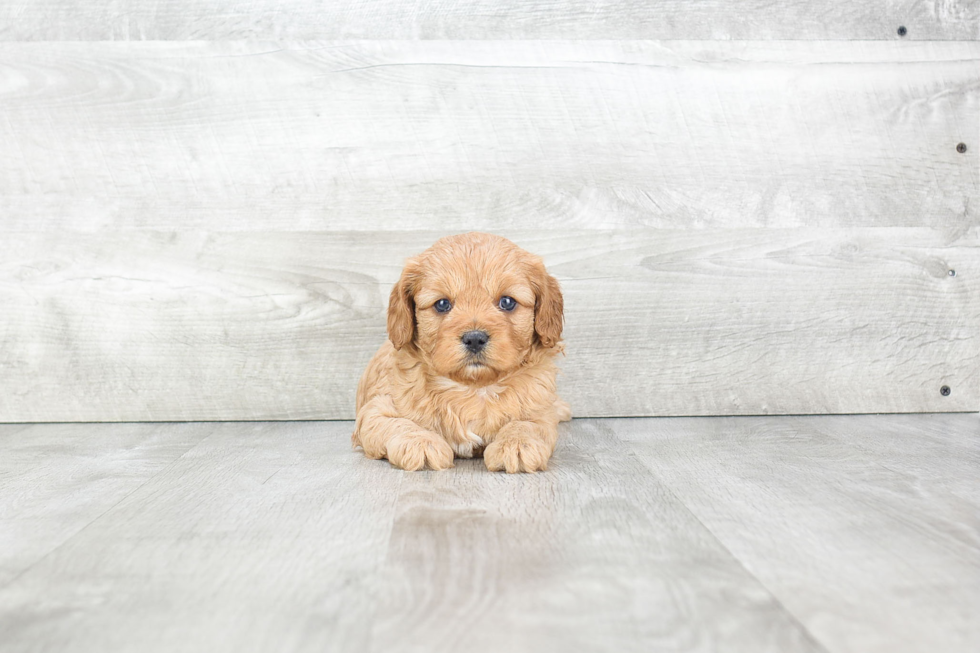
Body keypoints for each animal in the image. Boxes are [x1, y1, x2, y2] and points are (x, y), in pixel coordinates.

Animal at [352, 232, 572, 472]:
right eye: (442, 304)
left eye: (507, 302)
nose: (474, 338)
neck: (473, 389)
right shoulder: (375, 410)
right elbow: (398, 423)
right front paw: (421, 442)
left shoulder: (540, 410)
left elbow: (527, 424)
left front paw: (517, 443)